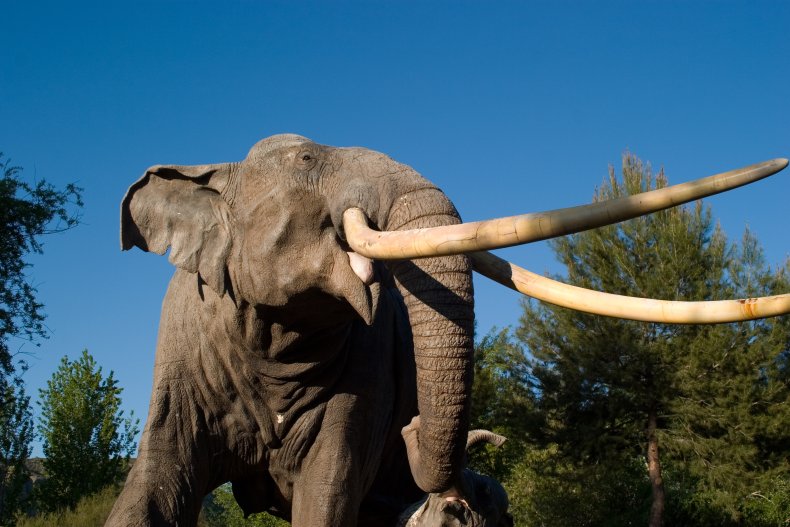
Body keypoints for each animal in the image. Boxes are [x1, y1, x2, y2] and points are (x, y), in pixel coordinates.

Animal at [108, 133, 788, 526]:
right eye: (306, 159)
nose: (409, 429)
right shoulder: (181, 355)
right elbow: (155, 481)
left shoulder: (366, 374)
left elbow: (328, 489)